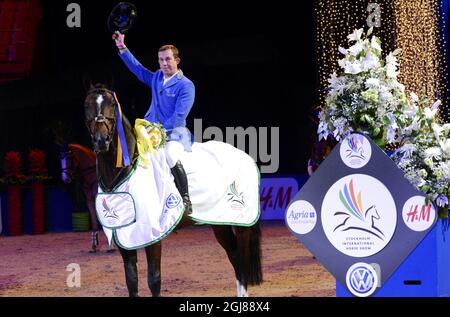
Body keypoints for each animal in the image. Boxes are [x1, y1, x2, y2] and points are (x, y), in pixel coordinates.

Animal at [83, 84, 264, 296]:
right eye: (87, 105)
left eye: (112, 104)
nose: (101, 141)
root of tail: (244, 155)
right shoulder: (124, 237)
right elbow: (131, 281)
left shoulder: (153, 237)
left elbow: (154, 279)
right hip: (220, 222)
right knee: (235, 256)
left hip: (241, 222)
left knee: (242, 258)